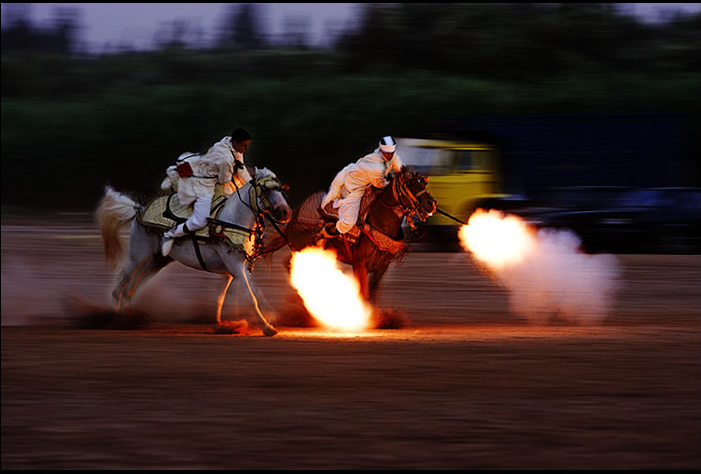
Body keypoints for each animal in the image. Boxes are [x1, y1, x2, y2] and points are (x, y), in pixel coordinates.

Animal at [95, 168, 290, 336]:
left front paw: (224, 324)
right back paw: (118, 319)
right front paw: (267, 327)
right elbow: (251, 296)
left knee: (133, 285)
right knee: (122, 281)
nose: (285, 212)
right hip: (138, 254)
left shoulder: (234, 270)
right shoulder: (235, 267)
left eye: (281, 189)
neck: (231, 220)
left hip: (158, 260)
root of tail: (139, 210)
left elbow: (232, 296)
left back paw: (130, 317)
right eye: (265, 189)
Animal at [268, 167, 432, 304]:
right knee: (290, 264)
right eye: (410, 184)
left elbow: (372, 296)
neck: (377, 223)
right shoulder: (360, 265)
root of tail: (294, 217)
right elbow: (364, 294)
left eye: (423, 184)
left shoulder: (381, 268)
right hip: (303, 250)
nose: (432, 203)